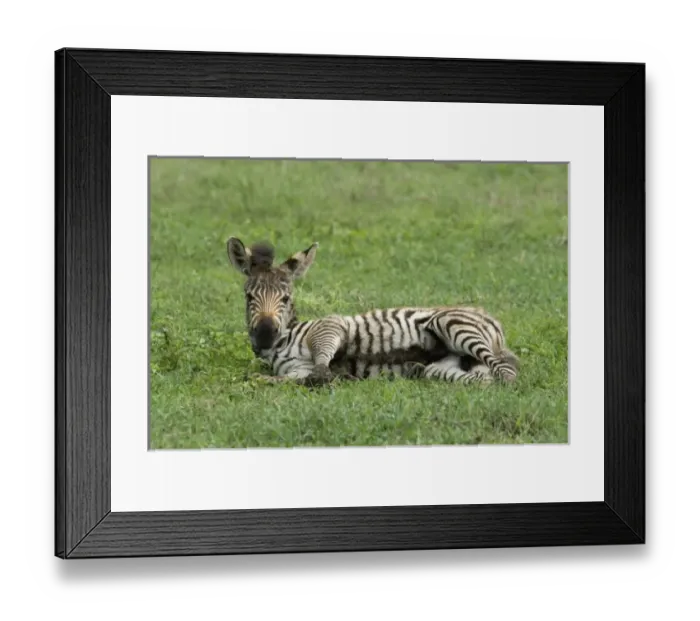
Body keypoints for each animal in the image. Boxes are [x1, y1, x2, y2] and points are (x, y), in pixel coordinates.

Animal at [226, 237, 519, 388]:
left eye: (286, 298)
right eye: (249, 296)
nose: (265, 334)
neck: (281, 342)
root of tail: (486, 315)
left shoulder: (330, 326)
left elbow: (320, 367)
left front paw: (336, 376)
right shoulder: (295, 371)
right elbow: (270, 378)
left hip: (452, 323)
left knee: (506, 372)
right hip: (444, 370)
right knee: (482, 380)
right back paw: (416, 367)